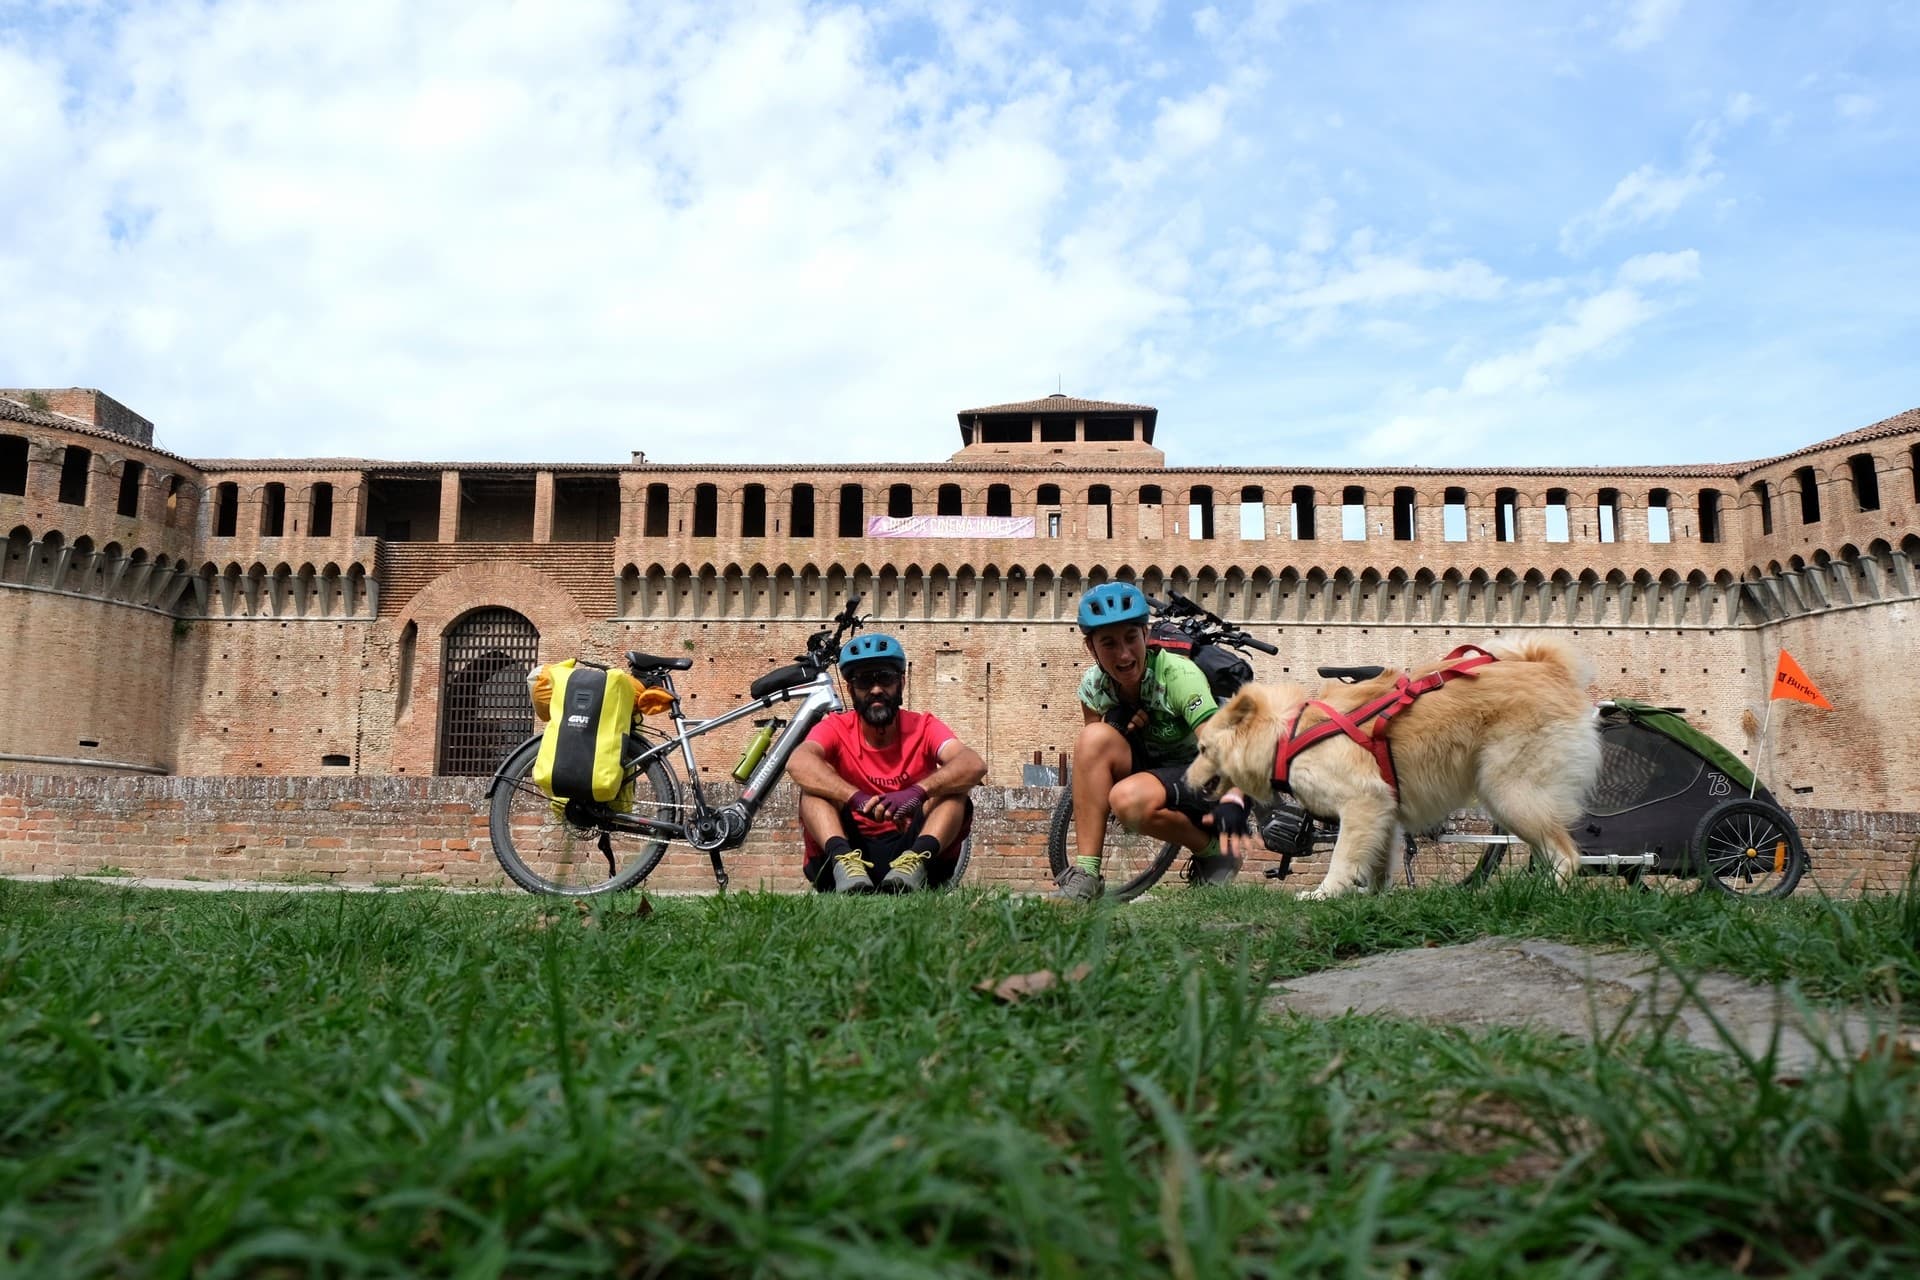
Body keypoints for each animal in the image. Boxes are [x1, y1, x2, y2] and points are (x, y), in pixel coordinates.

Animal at [1182, 640, 1605, 901]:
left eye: (1202, 748)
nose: (1183, 785)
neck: (1288, 733)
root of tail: (1549, 668)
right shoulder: (1383, 809)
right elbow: (1379, 862)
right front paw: (1373, 896)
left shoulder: (1362, 801)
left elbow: (1342, 857)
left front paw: (1324, 894)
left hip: (1509, 792)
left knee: (1566, 854)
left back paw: (1547, 894)